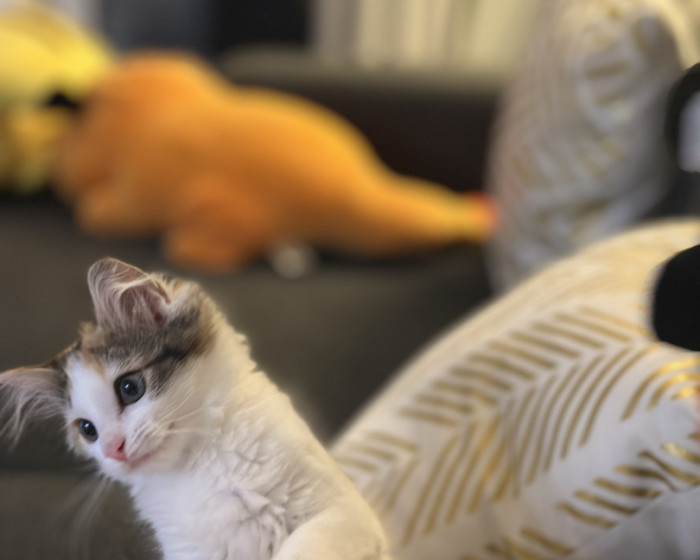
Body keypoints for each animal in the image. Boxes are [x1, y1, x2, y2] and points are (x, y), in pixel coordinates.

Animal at [0, 258, 391, 560]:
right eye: (87, 430)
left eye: (130, 388)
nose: (114, 450)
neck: (199, 466)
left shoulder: (342, 511)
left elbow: (301, 550)